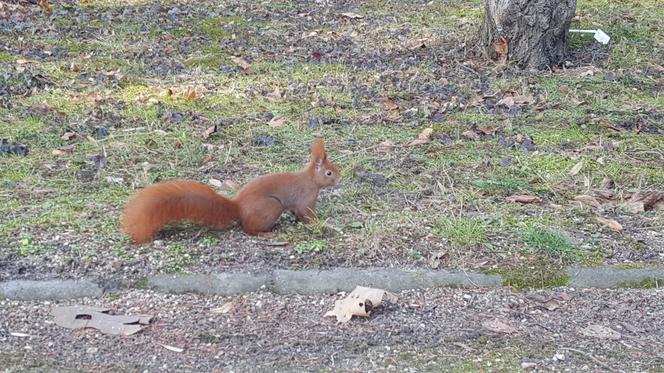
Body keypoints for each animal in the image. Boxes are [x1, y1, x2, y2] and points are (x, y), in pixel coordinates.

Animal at [119, 138, 340, 243]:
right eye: (329, 172)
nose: (340, 178)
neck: (311, 180)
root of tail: (238, 208)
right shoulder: (306, 199)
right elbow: (307, 214)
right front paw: (320, 223)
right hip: (271, 207)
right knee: (248, 229)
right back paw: (264, 234)